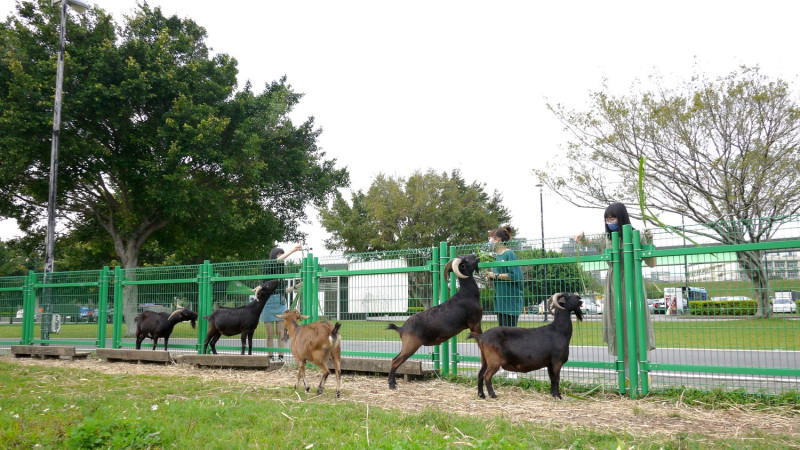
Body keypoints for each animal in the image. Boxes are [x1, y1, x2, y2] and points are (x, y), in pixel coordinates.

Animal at [386, 255, 482, 388]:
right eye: (466, 260)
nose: (476, 256)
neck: (466, 294)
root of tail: (402, 328)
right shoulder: (475, 323)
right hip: (411, 345)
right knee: (396, 361)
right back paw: (392, 385)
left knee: (394, 359)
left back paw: (393, 382)